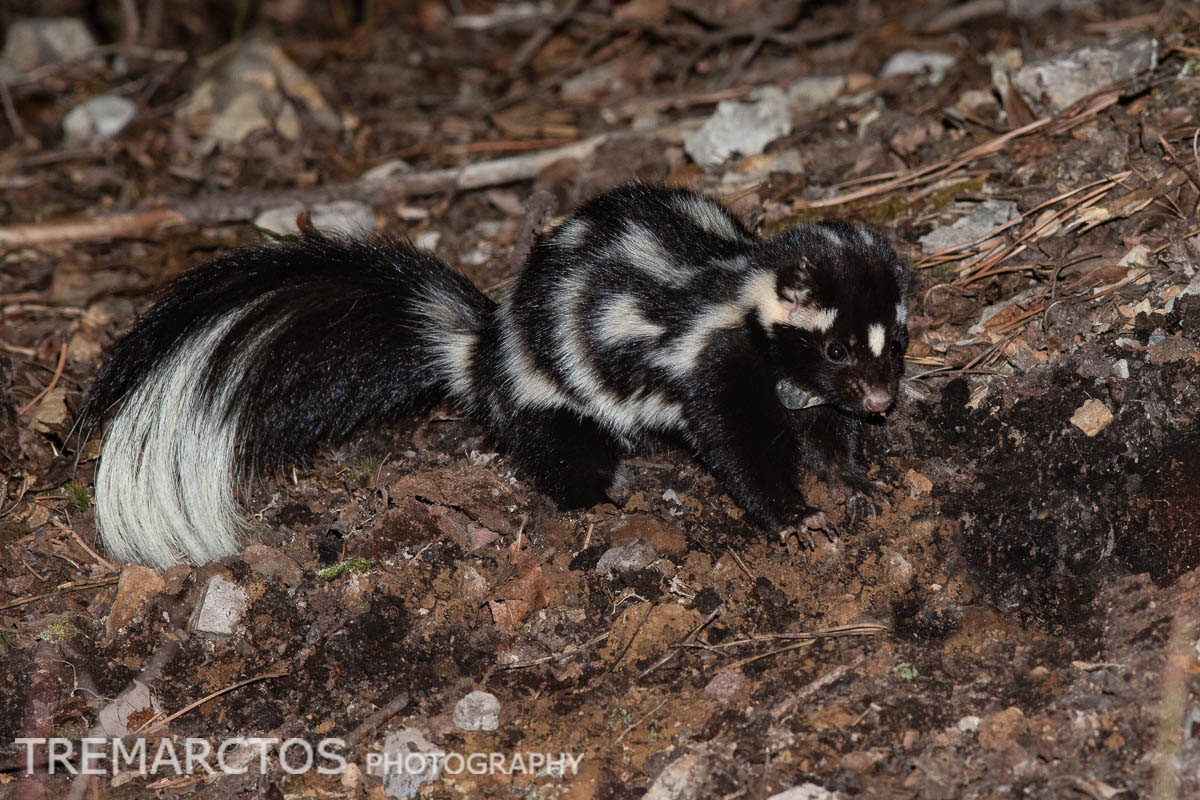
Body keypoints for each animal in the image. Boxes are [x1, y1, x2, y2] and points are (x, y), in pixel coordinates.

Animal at [82, 183, 907, 566]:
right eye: (836, 349)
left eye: (893, 342)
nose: (880, 399)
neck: (741, 293)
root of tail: (483, 347)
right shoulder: (713, 358)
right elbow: (738, 445)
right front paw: (796, 519)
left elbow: (819, 432)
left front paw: (859, 479)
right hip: (547, 393)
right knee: (553, 446)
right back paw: (607, 489)